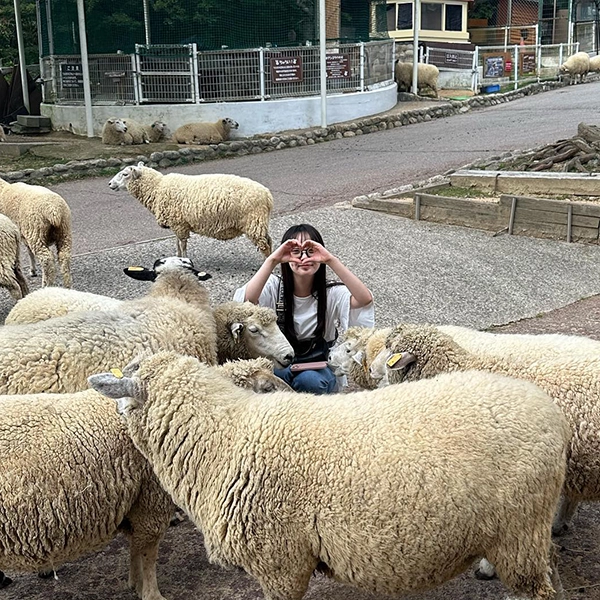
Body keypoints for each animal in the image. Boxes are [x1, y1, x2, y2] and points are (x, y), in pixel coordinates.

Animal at [88, 350, 568, 600]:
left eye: (123, 394)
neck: (224, 441)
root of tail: (550, 413)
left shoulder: (280, 563)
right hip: (526, 532)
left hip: (519, 532)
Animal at [109, 164, 274, 258]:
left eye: (125, 174)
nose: (110, 184)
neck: (157, 188)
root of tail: (267, 195)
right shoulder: (177, 223)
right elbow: (176, 243)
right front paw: (177, 257)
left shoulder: (180, 224)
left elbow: (182, 244)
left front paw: (185, 259)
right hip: (258, 223)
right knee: (270, 242)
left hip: (254, 222)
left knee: (265, 246)